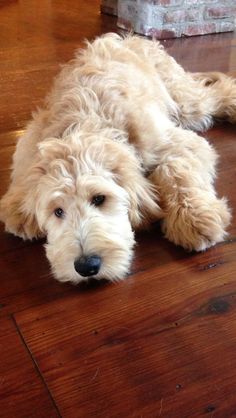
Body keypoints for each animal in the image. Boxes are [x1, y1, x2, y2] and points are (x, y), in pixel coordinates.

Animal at [0, 33, 235, 284]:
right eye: (58, 211)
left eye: (99, 199)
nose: (86, 266)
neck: (86, 124)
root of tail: (129, 38)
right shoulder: (33, 136)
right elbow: (23, 166)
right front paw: (19, 205)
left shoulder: (174, 142)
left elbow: (176, 168)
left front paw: (194, 216)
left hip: (186, 104)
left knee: (214, 94)